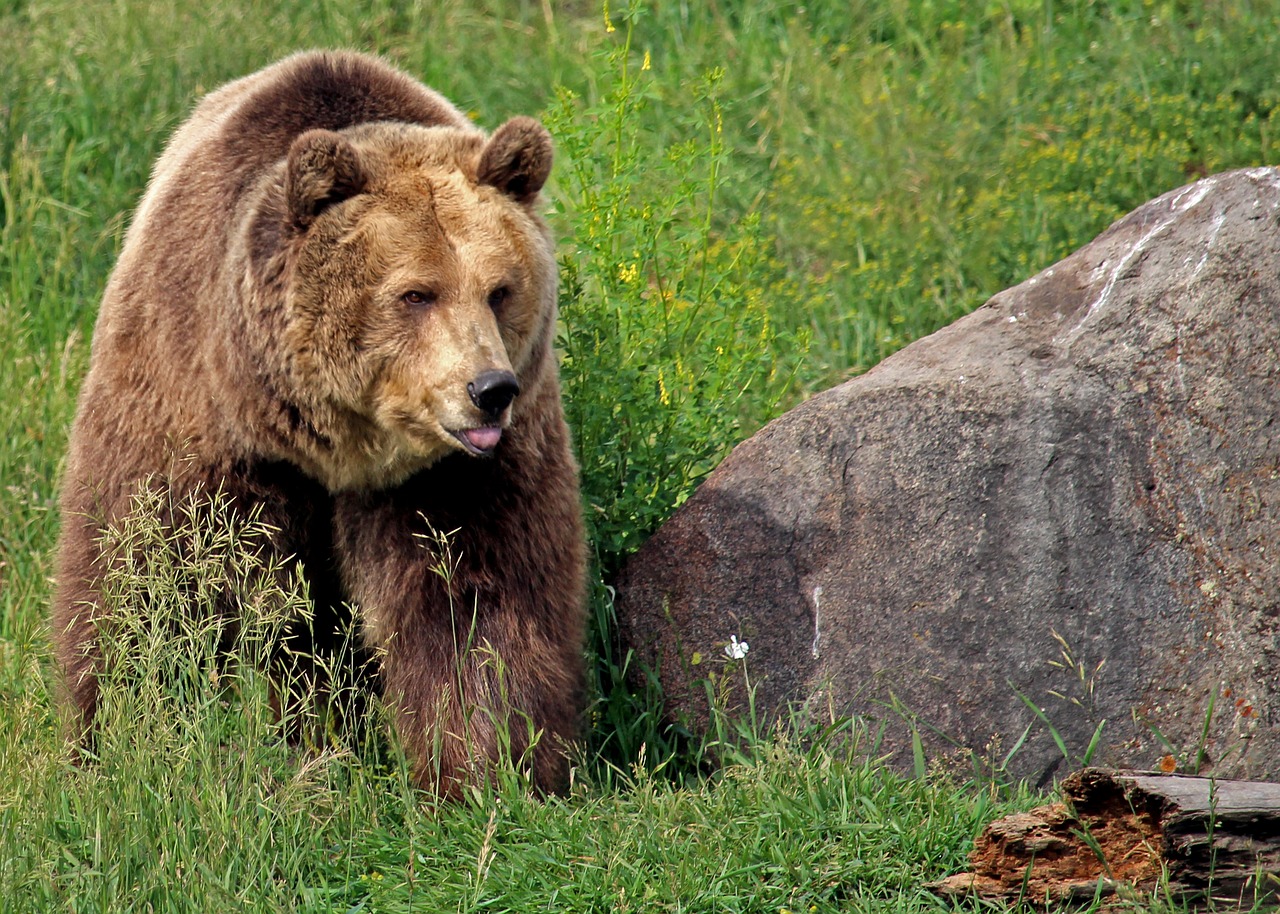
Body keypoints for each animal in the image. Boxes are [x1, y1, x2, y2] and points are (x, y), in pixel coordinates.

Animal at [52, 49, 586, 793]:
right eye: (415, 293)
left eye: (500, 289)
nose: (489, 390)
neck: (331, 443)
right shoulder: (196, 412)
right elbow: (151, 575)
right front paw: (134, 741)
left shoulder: (457, 475)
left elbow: (475, 599)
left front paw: (495, 765)